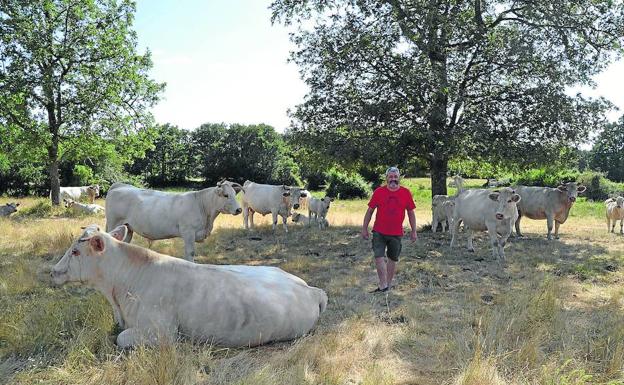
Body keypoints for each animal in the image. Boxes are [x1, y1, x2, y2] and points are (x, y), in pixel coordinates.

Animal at [105, 181, 241, 260]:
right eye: (226, 195)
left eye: (235, 194)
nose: (239, 209)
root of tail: (120, 186)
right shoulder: (188, 232)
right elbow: (190, 253)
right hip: (113, 222)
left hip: (128, 227)